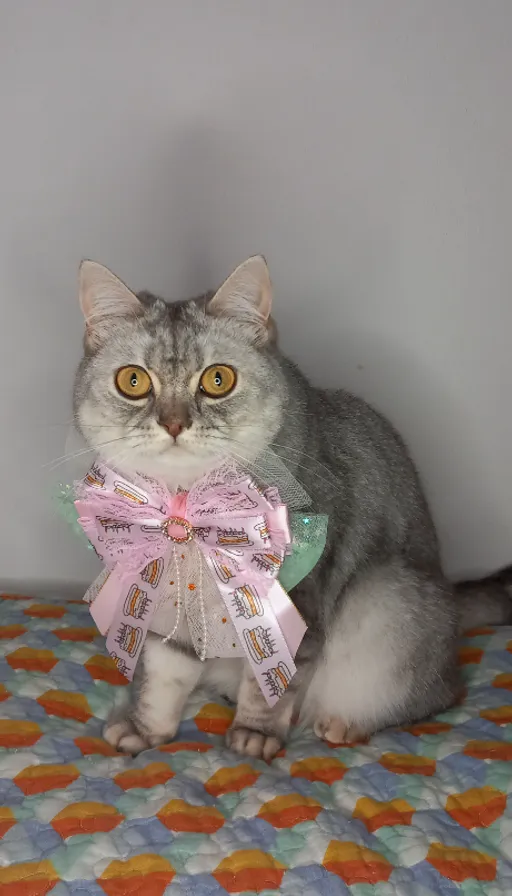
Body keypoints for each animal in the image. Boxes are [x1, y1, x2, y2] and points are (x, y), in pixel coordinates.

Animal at [73, 256, 512, 760]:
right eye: (133, 381)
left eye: (218, 380)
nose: (174, 423)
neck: (187, 506)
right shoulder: (168, 604)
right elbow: (164, 676)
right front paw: (147, 732)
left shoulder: (297, 602)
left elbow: (272, 682)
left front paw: (255, 735)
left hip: (387, 602)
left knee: (437, 695)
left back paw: (345, 724)